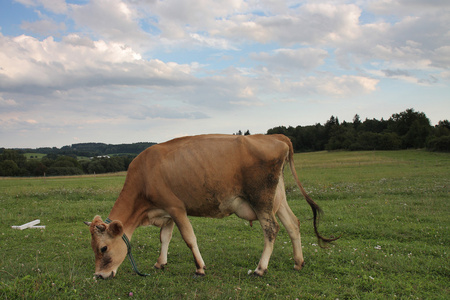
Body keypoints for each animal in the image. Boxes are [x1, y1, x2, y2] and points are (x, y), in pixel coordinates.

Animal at [84, 134, 338, 278]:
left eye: (103, 248)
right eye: (94, 248)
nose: (99, 276)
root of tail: (276, 137)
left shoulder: (176, 208)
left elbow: (189, 238)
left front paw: (199, 267)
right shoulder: (166, 212)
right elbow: (164, 238)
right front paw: (159, 263)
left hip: (261, 200)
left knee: (272, 229)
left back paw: (260, 268)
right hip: (277, 197)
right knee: (293, 224)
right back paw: (298, 263)